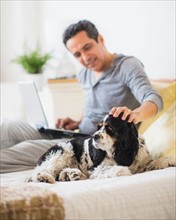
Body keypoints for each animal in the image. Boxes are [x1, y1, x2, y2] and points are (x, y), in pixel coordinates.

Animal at [28, 112, 175, 183]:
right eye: (98, 127)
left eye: (109, 128)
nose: (94, 136)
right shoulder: (97, 168)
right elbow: (120, 170)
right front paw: (124, 170)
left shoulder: (144, 163)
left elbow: (154, 162)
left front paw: (170, 161)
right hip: (62, 152)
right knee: (41, 171)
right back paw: (44, 178)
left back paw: (72, 174)